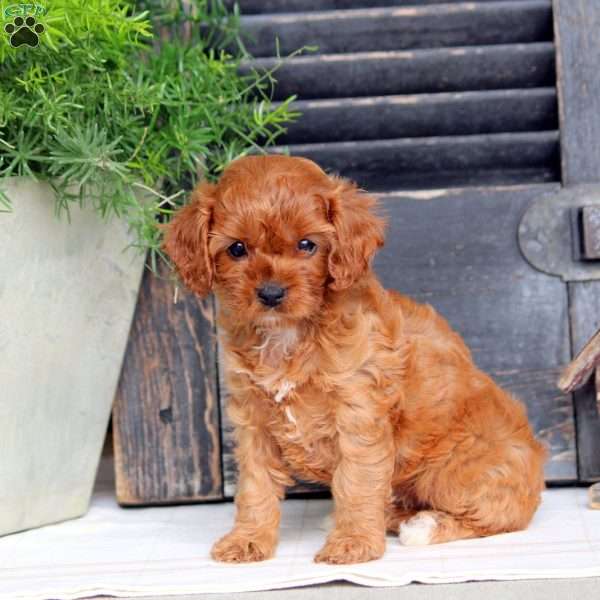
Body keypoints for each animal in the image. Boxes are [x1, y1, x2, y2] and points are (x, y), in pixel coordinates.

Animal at [162, 154, 548, 564]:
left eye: (307, 244)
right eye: (236, 249)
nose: (270, 293)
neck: (289, 334)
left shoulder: (358, 412)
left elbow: (357, 482)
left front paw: (353, 543)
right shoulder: (254, 419)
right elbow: (255, 486)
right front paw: (247, 540)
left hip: (452, 471)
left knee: (498, 517)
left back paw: (423, 526)